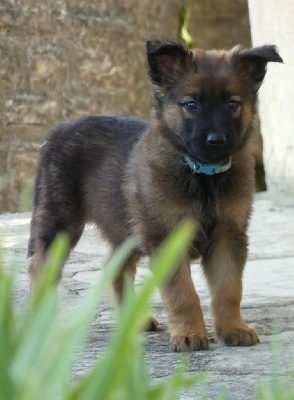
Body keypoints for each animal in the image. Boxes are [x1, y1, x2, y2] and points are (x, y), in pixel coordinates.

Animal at [27, 40, 282, 352]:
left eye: (233, 104)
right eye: (191, 104)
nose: (216, 141)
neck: (202, 174)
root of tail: (59, 128)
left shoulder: (228, 233)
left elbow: (229, 288)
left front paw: (233, 328)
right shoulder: (167, 236)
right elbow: (182, 293)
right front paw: (189, 333)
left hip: (126, 228)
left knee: (115, 267)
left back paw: (133, 320)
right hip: (59, 223)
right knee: (41, 268)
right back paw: (38, 326)